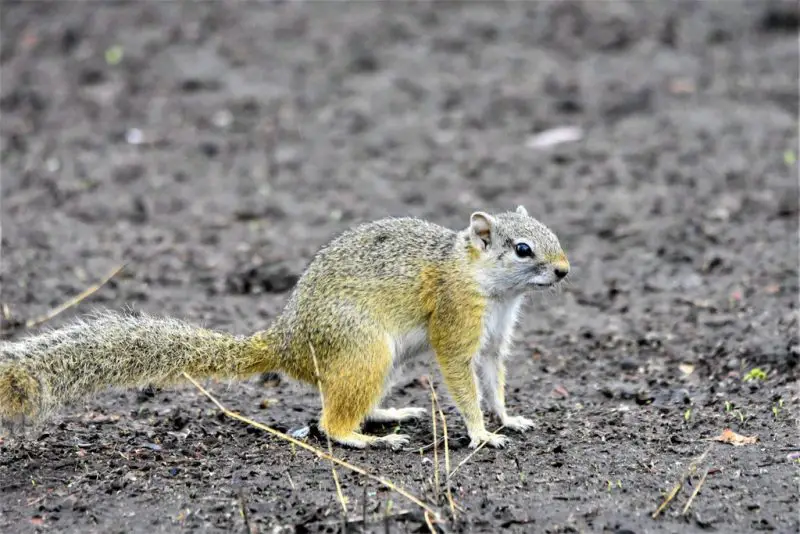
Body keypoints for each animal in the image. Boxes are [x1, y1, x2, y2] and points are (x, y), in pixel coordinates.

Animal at [0, 205, 570, 450]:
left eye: (553, 232)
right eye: (523, 249)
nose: (565, 271)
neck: (490, 286)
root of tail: (287, 344)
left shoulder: (493, 342)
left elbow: (493, 380)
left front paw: (509, 419)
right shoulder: (455, 323)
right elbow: (462, 382)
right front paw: (481, 434)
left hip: (379, 363)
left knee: (348, 406)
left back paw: (388, 414)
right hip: (364, 351)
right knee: (329, 425)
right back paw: (368, 441)